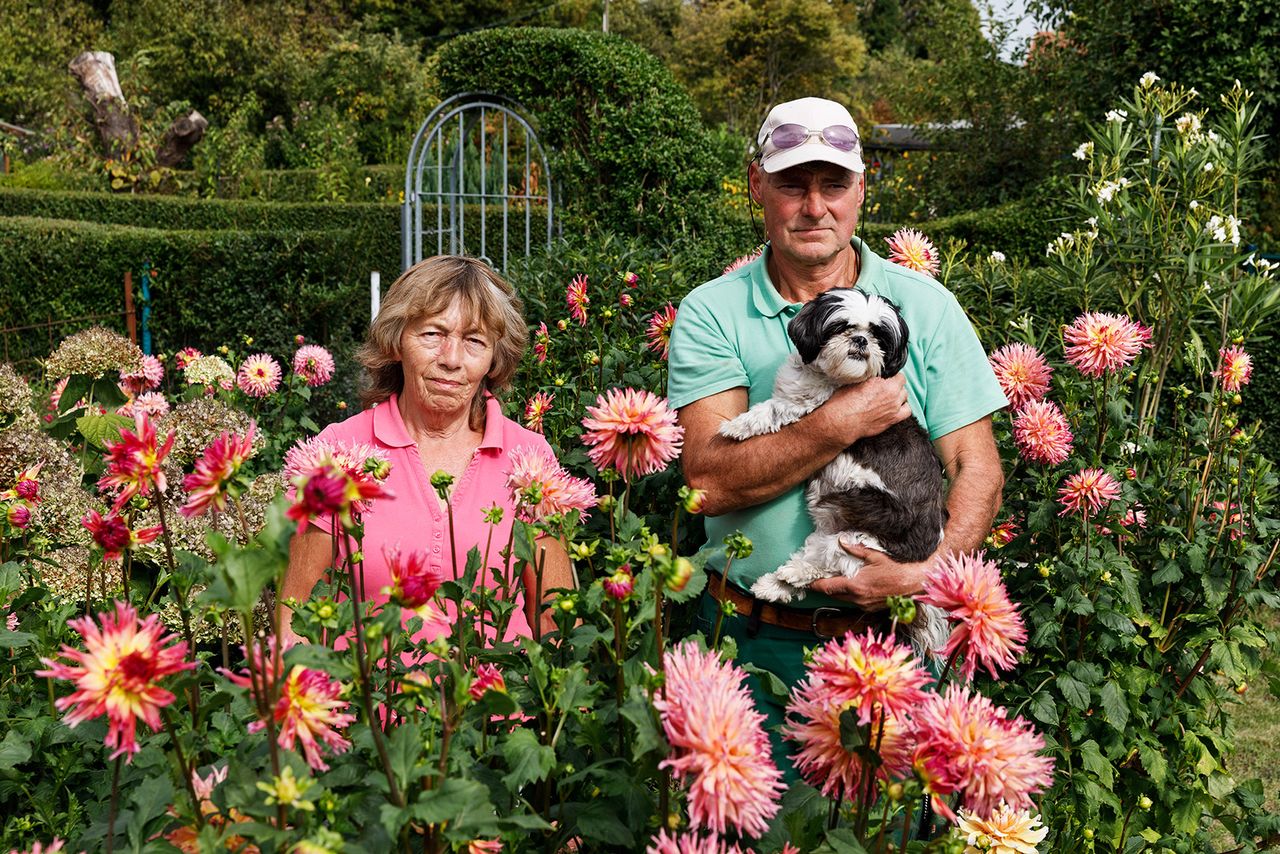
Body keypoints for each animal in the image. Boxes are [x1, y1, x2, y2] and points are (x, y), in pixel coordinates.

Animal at [721, 289, 952, 655]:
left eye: (879, 335)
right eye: (842, 326)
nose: (860, 340)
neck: (835, 379)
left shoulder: (806, 406)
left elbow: (772, 409)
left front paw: (739, 425)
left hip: (860, 528)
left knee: (831, 563)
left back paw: (792, 576)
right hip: (835, 528)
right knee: (817, 557)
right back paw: (775, 584)